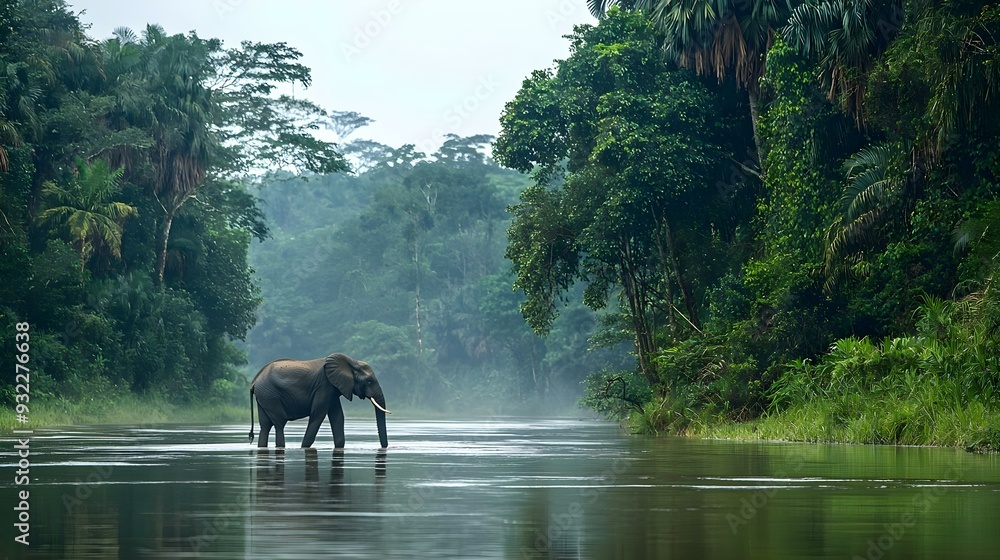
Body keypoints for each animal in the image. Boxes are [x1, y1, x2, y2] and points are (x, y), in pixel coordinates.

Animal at [249, 353, 390, 449]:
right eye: (369, 381)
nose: (384, 448)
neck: (351, 362)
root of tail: (254, 381)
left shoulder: (333, 389)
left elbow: (338, 417)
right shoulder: (324, 385)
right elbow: (318, 415)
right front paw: (304, 447)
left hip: (264, 397)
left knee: (265, 425)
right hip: (270, 395)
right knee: (279, 423)